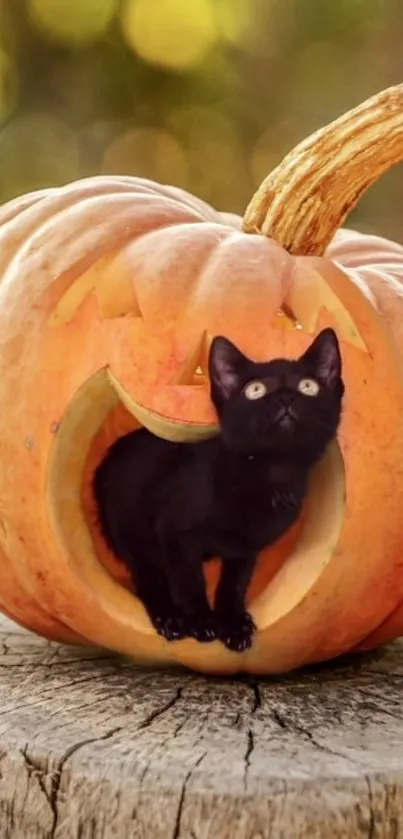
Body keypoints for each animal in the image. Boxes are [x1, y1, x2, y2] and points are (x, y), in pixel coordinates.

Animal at [94, 326, 344, 648]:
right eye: (255, 390)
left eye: (308, 386)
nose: (285, 398)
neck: (270, 472)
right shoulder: (175, 532)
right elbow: (188, 580)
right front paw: (200, 620)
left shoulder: (246, 548)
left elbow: (235, 583)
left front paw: (233, 623)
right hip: (130, 527)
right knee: (147, 576)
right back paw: (169, 617)